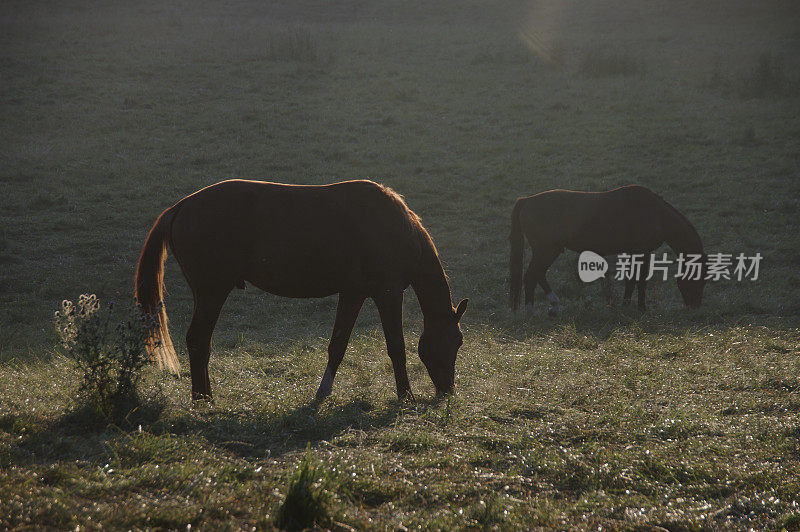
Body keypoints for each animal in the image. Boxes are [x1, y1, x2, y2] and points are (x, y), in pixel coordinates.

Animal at [134, 181, 466, 402]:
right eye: (458, 341)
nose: (448, 391)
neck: (395, 227)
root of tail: (181, 207)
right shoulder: (388, 293)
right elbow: (396, 347)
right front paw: (405, 395)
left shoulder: (353, 294)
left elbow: (338, 346)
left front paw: (322, 394)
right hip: (211, 292)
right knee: (198, 341)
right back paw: (204, 399)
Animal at [512, 185, 708, 314]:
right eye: (698, 277)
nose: (695, 306)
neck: (657, 213)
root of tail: (527, 200)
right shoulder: (642, 252)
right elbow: (640, 281)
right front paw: (641, 309)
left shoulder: (634, 253)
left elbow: (631, 280)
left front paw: (626, 306)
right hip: (546, 250)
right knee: (532, 276)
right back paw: (532, 311)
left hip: (546, 251)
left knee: (537, 274)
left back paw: (553, 306)